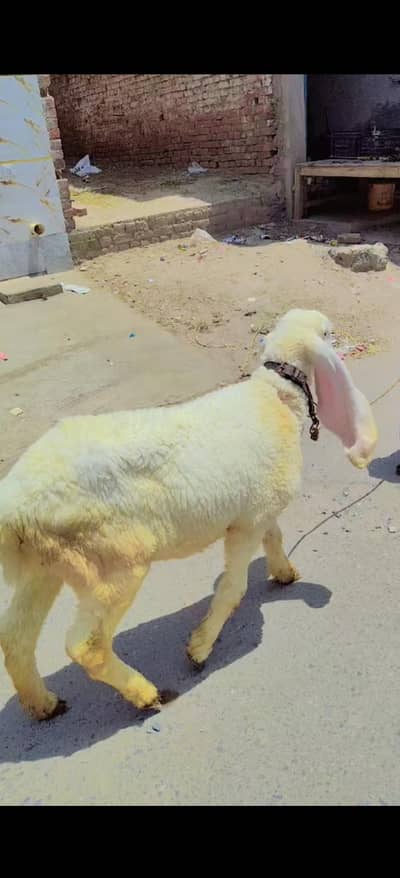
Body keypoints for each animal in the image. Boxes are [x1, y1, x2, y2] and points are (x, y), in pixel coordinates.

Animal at [0, 309, 378, 722]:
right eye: (328, 333)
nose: (346, 344)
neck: (275, 396)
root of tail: (14, 503)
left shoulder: (258, 509)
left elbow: (275, 537)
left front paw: (285, 573)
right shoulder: (247, 523)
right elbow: (233, 588)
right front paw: (199, 648)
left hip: (48, 563)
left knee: (15, 636)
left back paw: (43, 704)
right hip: (113, 561)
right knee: (86, 645)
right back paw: (144, 694)